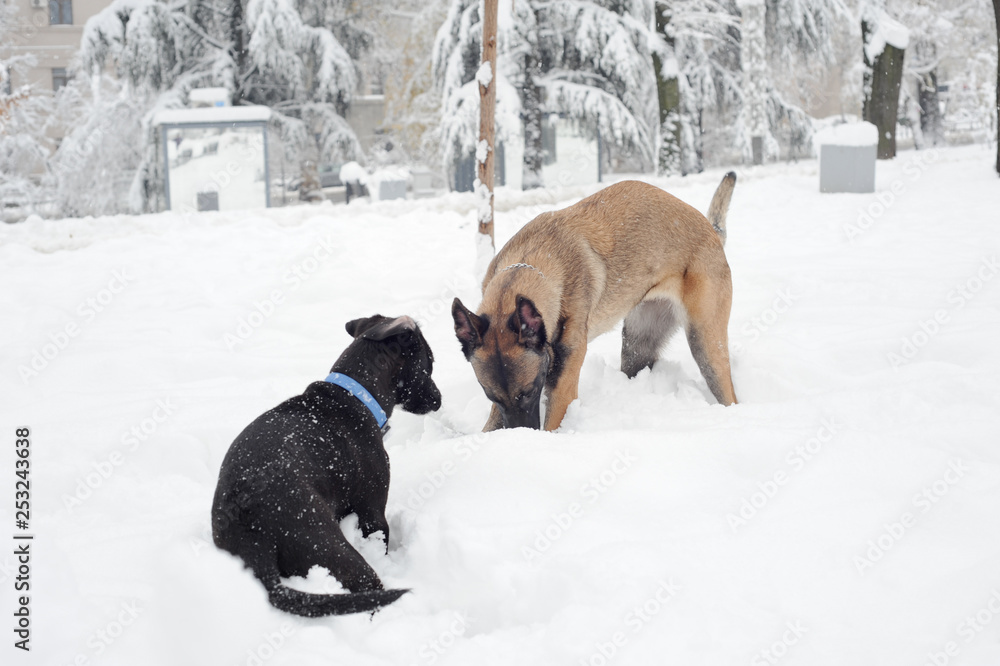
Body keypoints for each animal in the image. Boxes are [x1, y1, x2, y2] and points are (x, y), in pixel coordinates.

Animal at [213, 314, 440, 616]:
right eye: (430, 363)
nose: (439, 400)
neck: (355, 395)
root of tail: (254, 536)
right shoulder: (372, 513)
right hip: (330, 549)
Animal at [454, 172, 744, 430]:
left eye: (530, 392)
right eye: (491, 396)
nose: (522, 434)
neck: (534, 262)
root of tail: (711, 231)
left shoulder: (563, 385)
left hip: (705, 345)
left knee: (727, 390)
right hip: (637, 348)